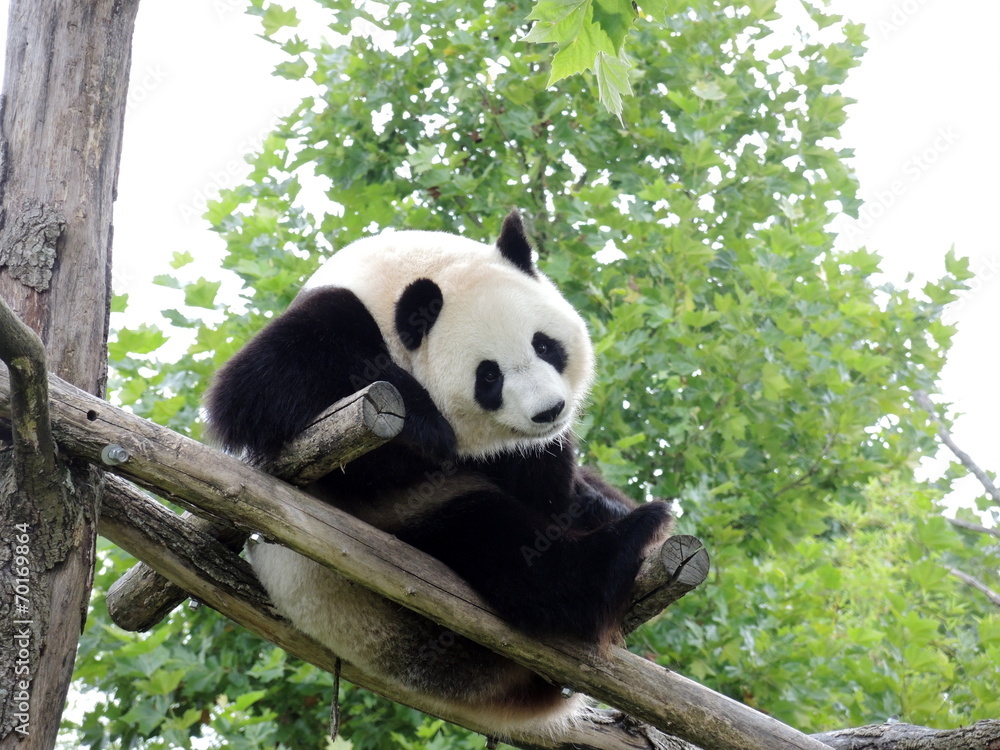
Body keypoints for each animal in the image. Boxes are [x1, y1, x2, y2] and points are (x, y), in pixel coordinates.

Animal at [205, 211, 673, 736]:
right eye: (489, 375)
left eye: (544, 345)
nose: (549, 411)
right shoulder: (334, 323)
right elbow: (255, 390)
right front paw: (428, 422)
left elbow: (545, 478)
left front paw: (578, 491)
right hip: (386, 570)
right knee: (506, 550)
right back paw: (630, 537)